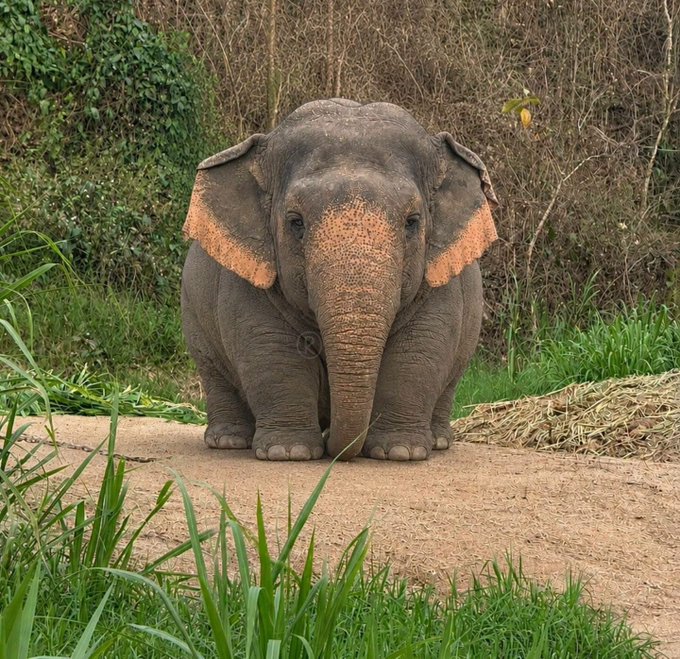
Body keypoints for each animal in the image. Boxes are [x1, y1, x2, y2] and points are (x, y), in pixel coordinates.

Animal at [181, 99, 498, 462]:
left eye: (413, 222)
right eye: (296, 222)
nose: (337, 446)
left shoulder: (439, 278)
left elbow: (419, 348)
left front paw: (400, 452)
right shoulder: (249, 278)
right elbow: (271, 349)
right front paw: (288, 452)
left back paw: (439, 441)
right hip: (193, 315)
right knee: (214, 372)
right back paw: (228, 441)